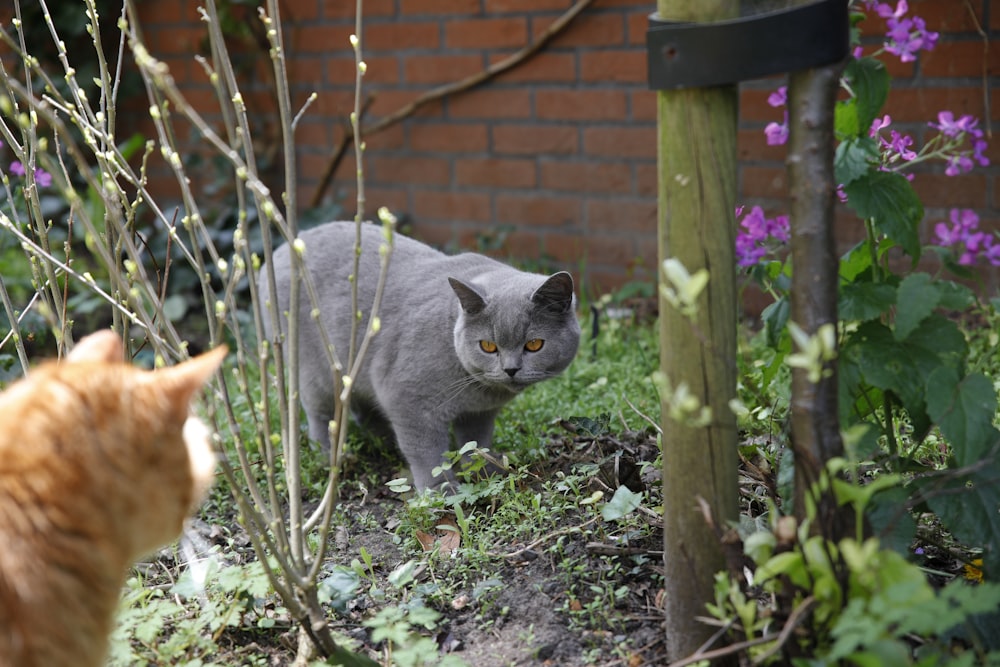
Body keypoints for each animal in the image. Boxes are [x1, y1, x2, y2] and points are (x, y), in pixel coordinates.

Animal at [262, 222, 584, 488]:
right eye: (488, 346)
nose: (511, 369)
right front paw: (442, 491)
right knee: (320, 414)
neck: (477, 391)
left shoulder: (478, 414)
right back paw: (328, 455)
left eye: (534, 345)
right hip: (314, 371)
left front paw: (485, 472)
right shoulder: (407, 400)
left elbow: (476, 442)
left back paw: (383, 438)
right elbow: (426, 454)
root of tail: (284, 247)